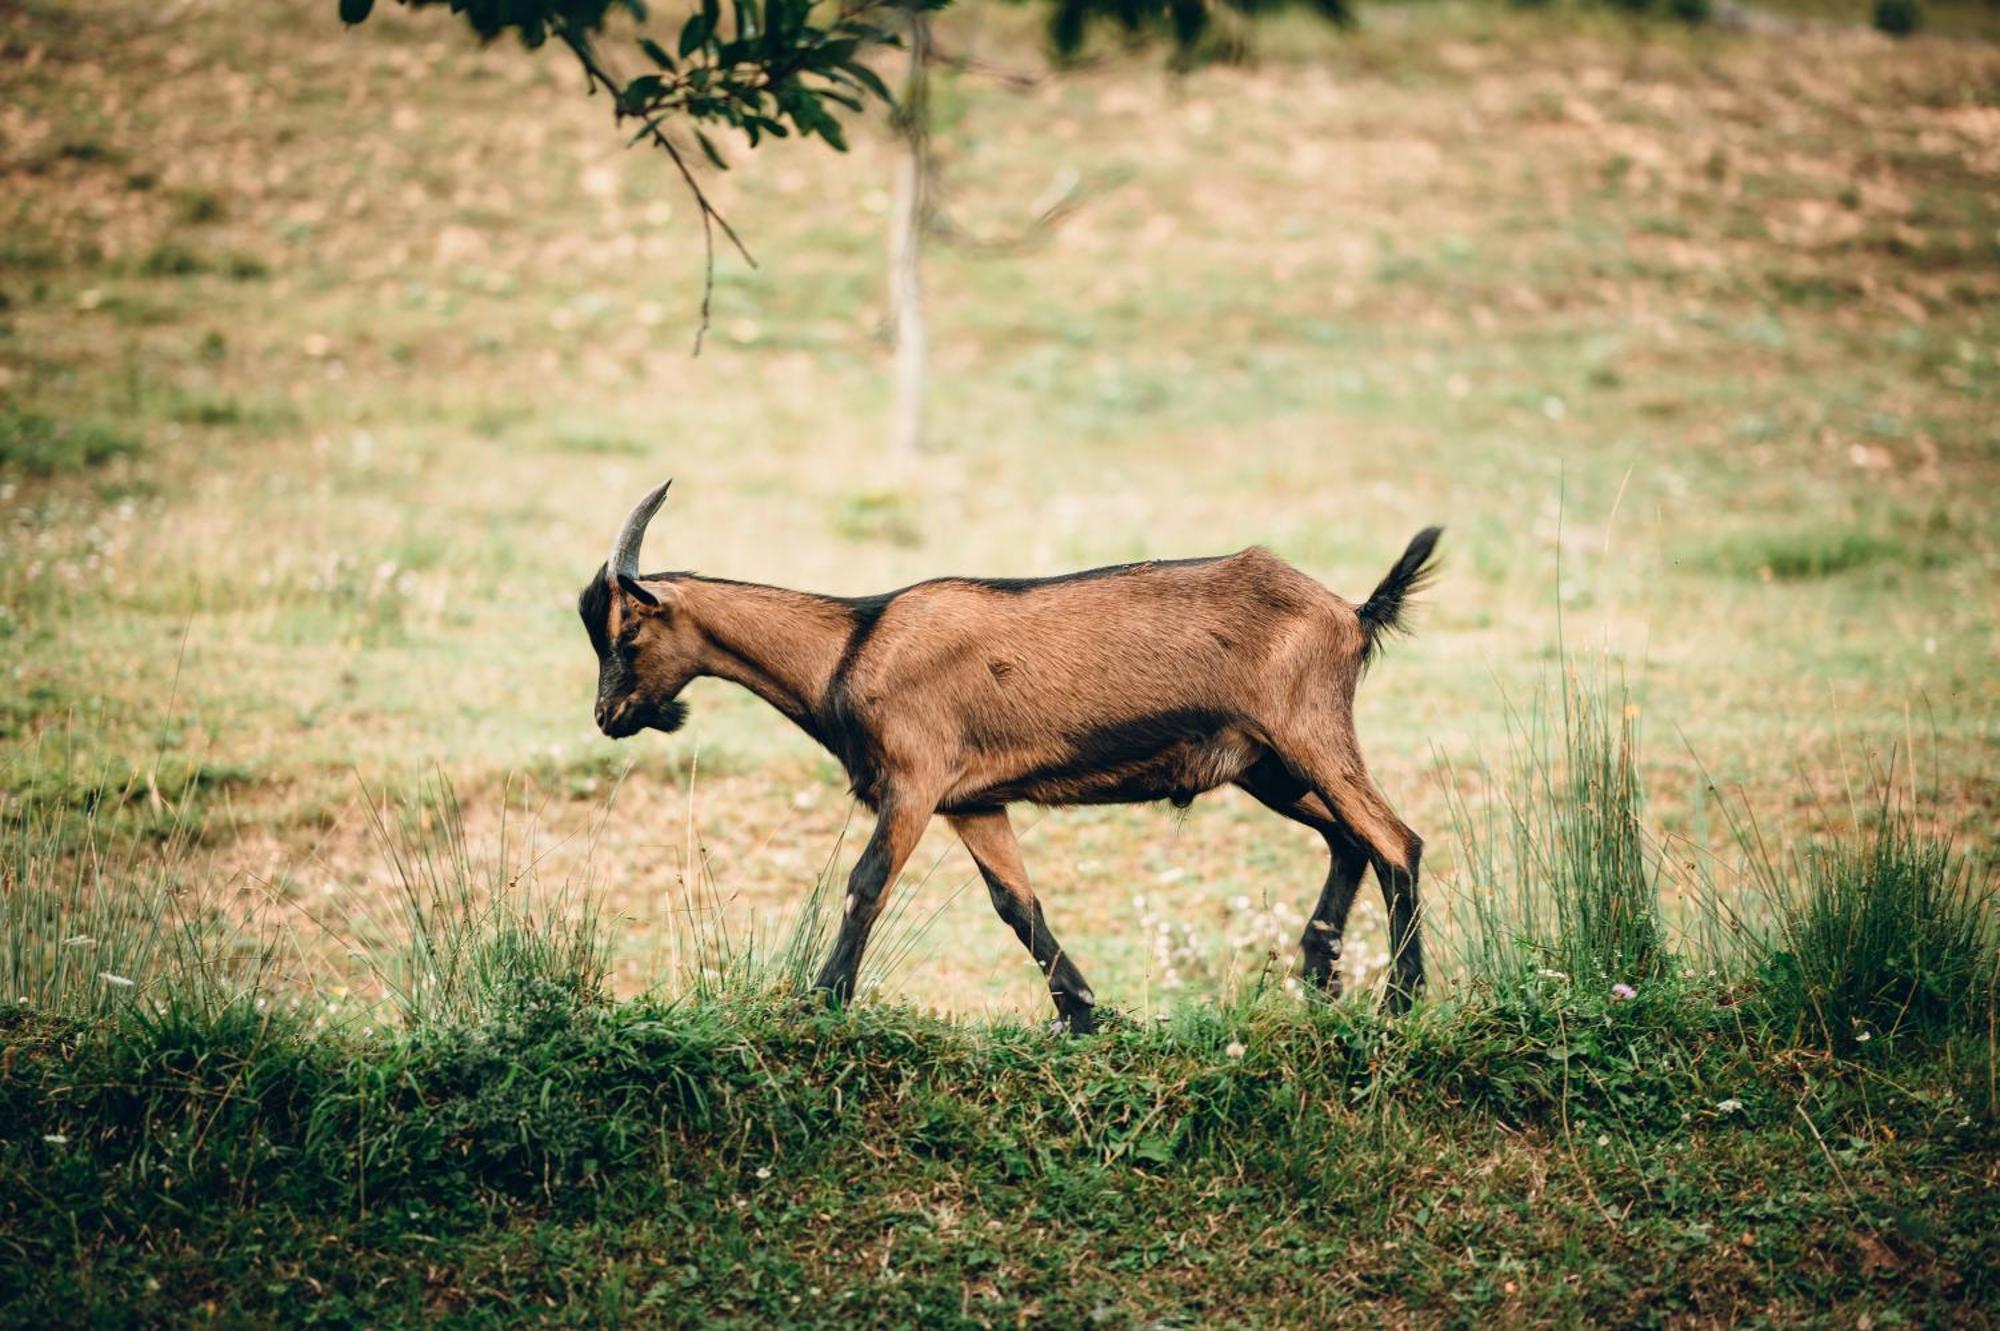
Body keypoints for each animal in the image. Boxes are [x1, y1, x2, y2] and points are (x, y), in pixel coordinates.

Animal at [580, 477, 1440, 1023]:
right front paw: (1087, 1015)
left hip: (1309, 730)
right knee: (1349, 838)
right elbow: (1016, 904)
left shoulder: (916, 779)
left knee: (1395, 838)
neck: (849, 647)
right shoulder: (974, 800)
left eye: (627, 633)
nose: (608, 716)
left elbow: (865, 885)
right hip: (1266, 765)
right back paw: (1318, 977)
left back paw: (1400, 1002)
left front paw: (820, 1001)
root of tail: (1351, 612)